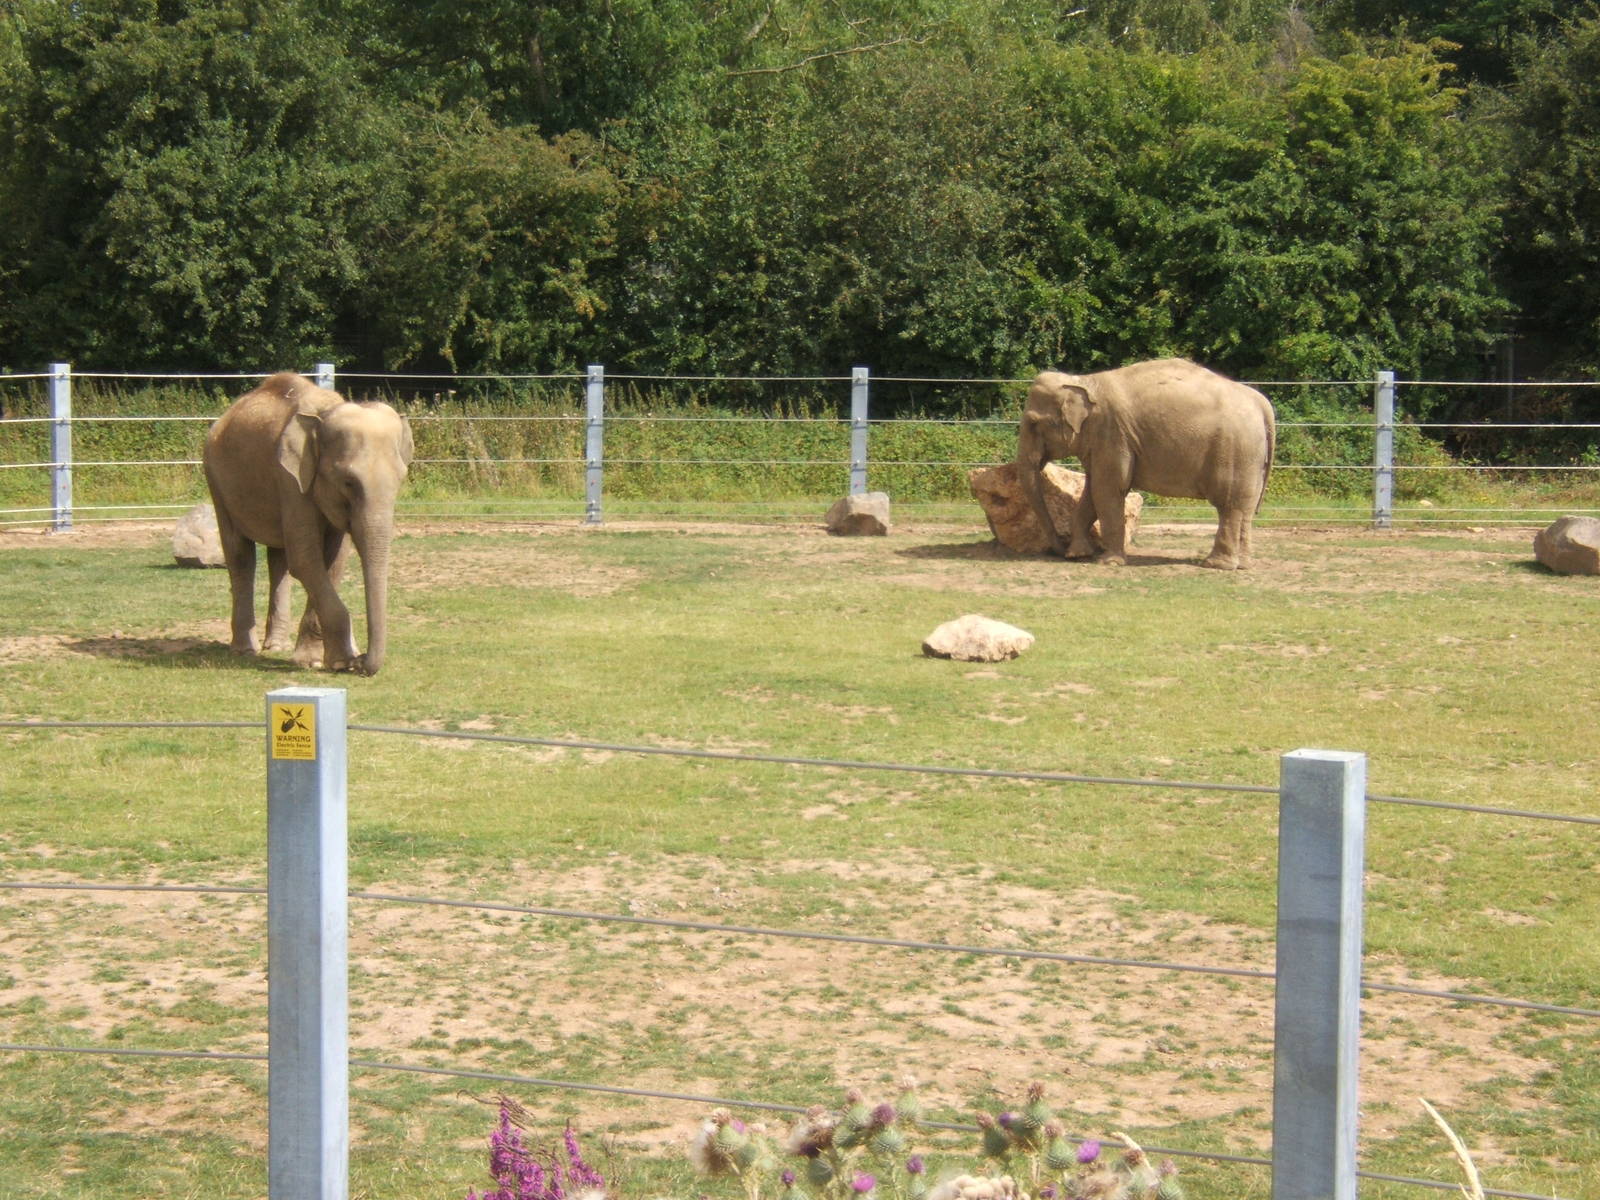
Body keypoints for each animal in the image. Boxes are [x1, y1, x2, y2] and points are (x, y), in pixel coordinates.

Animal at [202, 372, 414, 675]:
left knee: (278, 558)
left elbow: (333, 562)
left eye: (401, 479)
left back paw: (276, 646)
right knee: (240, 555)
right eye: (348, 482)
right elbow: (306, 560)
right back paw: (245, 651)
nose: (362, 662)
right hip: (215, 477)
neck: (325, 412)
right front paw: (338, 661)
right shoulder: (290, 478)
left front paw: (323, 660)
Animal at [1017, 358, 1275, 570]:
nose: (1058, 551)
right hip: (1251, 456)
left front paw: (1108, 562)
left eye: (1033, 423)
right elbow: (1092, 491)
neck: (1083, 381)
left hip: (1235, 450)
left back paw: (1216, 565)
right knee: (1245, 508)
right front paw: (1078, 555)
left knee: (1229, 506)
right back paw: (1243, 566)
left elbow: (1107, 490)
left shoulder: (1112, 434)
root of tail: (1262, 403)